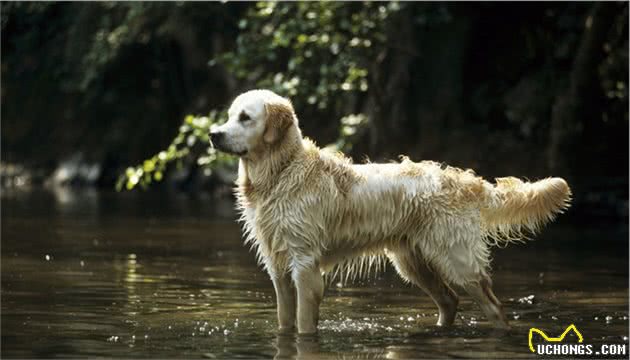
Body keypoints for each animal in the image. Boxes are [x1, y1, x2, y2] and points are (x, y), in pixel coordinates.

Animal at [211, 89, 572, 334]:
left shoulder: (305, 264)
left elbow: (303, 324)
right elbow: (285, 322)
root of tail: (467, 180)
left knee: (494, 308)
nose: (214, 134)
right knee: (449, 300)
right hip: (413, 261)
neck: (281, 172)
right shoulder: (278, 267)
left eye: (245, 117)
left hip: (457, 259)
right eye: (229, 115)